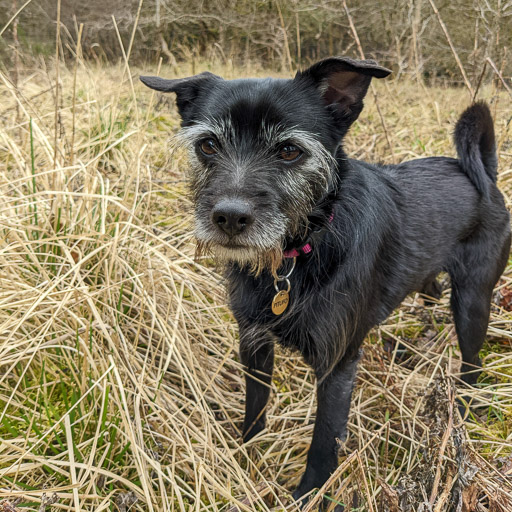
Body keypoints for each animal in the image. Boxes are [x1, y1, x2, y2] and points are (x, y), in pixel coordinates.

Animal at [139, 57, 508, 508]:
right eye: (208, 145)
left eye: (289, 150)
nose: (229, 217)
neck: (295, 256)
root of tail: (485, 174)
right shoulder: (254, 344)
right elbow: (255, 405)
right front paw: (246, 453)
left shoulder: (337, 366)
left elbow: (323, 441)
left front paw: (309, 495)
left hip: (473, 303)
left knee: (473, 362)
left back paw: (467, 410)